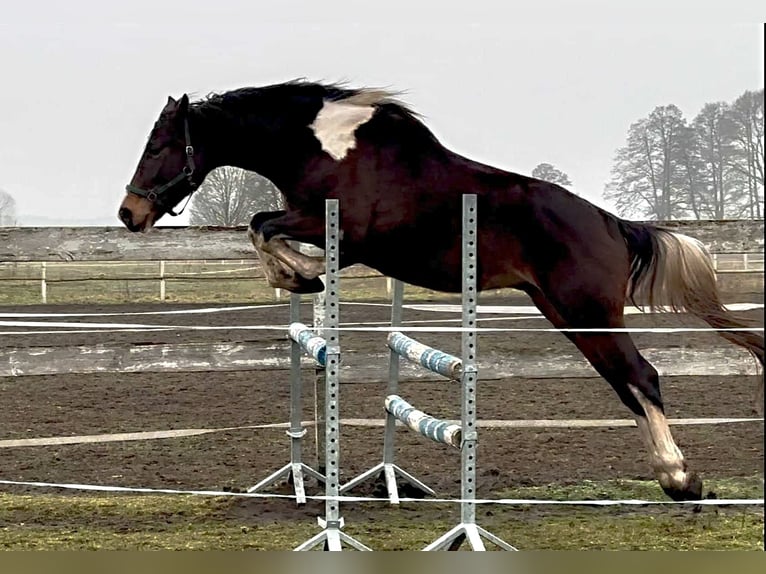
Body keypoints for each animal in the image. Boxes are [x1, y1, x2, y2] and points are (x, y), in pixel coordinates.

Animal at [117, 79, 764, 502]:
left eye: (159, 148)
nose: (129, 214)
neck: (325, 147)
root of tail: (610, 223)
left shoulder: (343, 231)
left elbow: (261, 225)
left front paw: (299, 275)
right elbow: (262, 229)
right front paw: (301, 276)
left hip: (588, 313)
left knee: (642, 377)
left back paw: (682, 480)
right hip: (565, 315)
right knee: (626, 384)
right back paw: (671, 477)